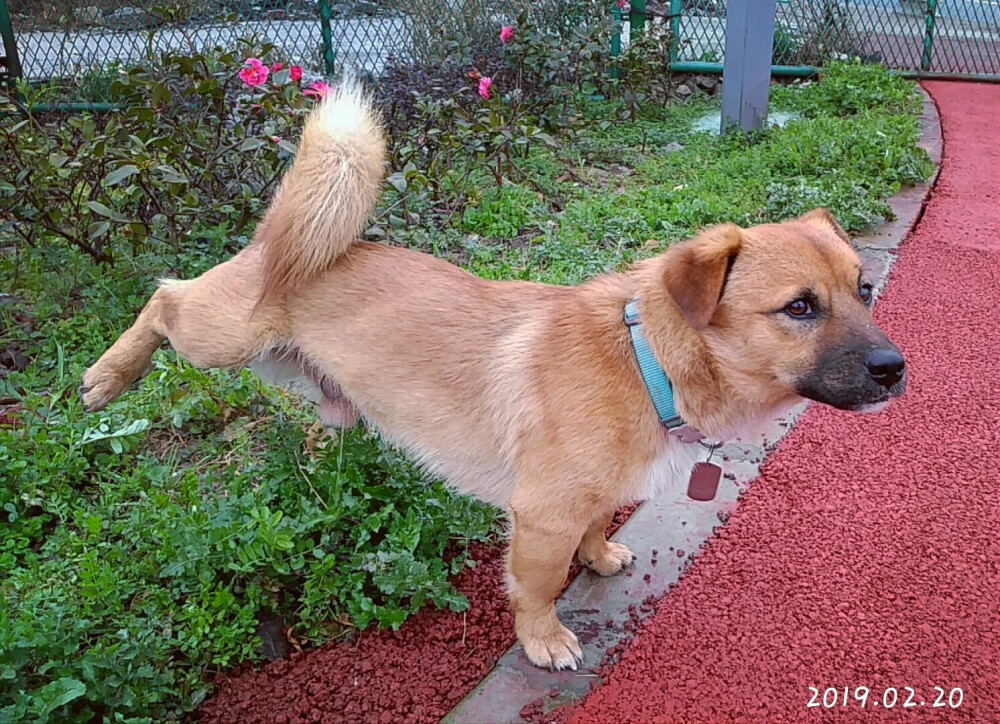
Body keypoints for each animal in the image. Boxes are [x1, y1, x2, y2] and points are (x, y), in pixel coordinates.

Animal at [78, 76, 908, 672]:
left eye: (864, 290)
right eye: (799, 308)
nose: (896, 369)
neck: (649, 365)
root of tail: (282, 236)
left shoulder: (584, 498)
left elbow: (595, 526)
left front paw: (599, 554)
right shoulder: (538, 517)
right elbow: (537, 586)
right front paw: (543, 639)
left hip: (320, 397)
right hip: (216, 338)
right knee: (163, 298)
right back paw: (107, 377)